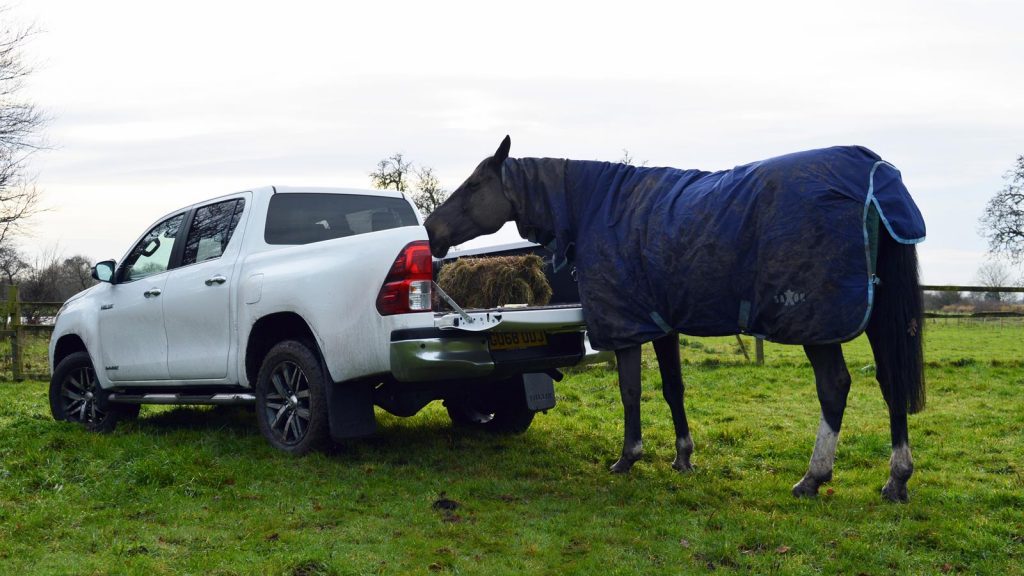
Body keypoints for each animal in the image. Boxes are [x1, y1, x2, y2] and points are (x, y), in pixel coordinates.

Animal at [424, 136, 926, 502]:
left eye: (474, 185)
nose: (431, 230)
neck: (596, 206)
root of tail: (874, 175)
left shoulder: (627, 327)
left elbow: (630, 390)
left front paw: (628, 457)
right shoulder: (661, 323)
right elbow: (672, 388)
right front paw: (683, 458)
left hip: (817, 323)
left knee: (835, 387)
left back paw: (813, 478)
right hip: (874, 317)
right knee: (891, 381)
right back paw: (896, 480)